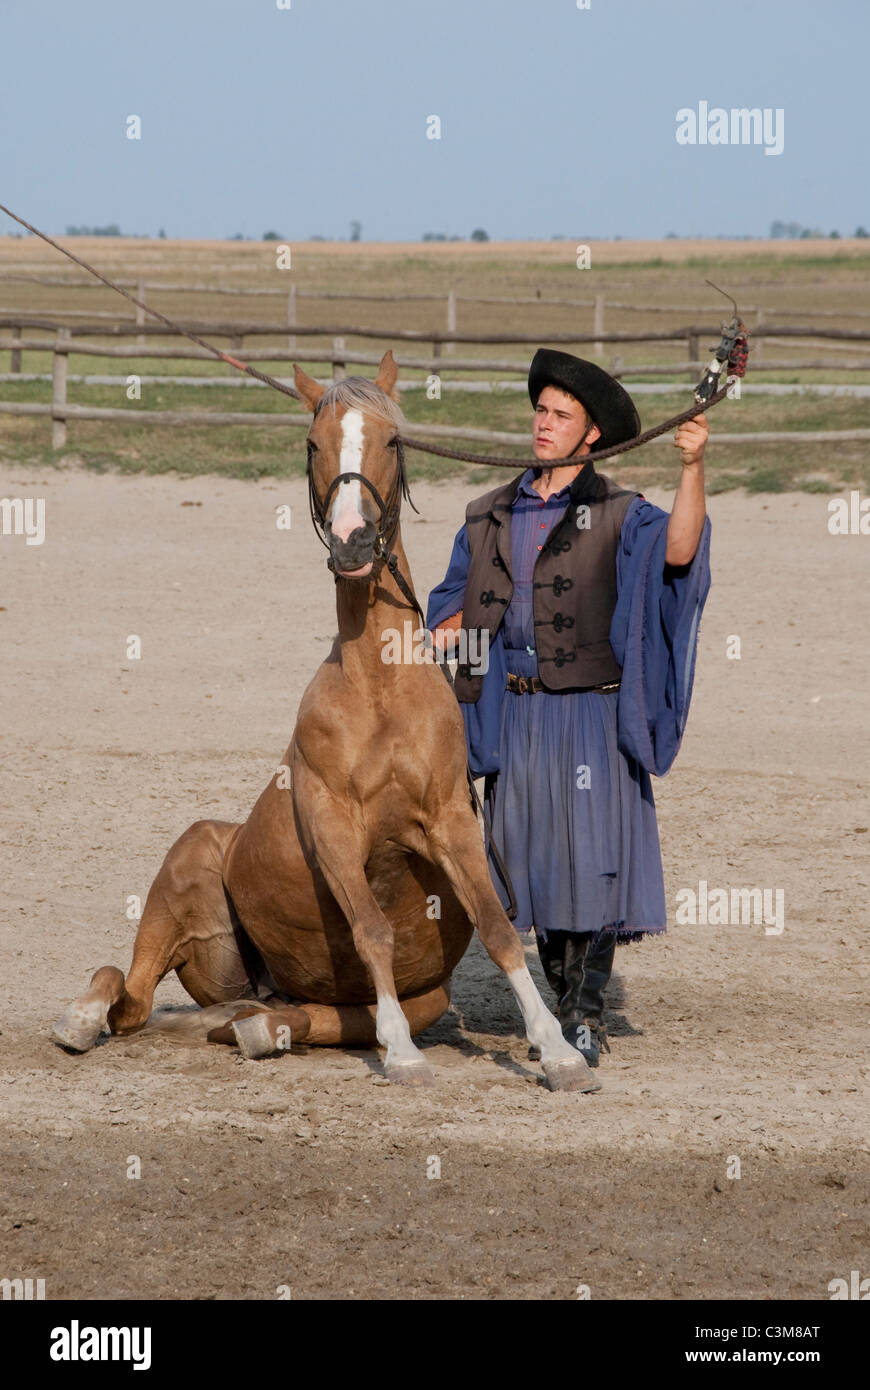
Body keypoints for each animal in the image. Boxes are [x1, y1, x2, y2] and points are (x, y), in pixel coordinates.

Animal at [52, 351, 598, 1092]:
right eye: (313, 444)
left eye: (393, 440)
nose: (353, 544)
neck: (379, 687)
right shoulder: (334, 825)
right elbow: (372, 928)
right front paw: (403, 1056)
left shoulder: (450, 821)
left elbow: (499, 927)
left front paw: (559, 1051)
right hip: (179, 890)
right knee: (125, 991)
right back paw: (81, 1019)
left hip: (409, 996)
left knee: (286, 1016)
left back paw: (263, 1028)